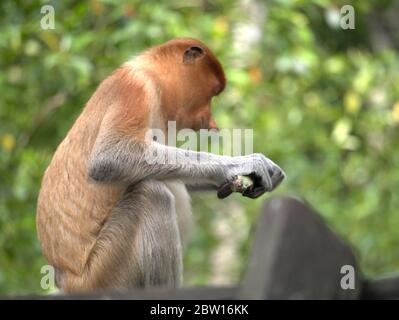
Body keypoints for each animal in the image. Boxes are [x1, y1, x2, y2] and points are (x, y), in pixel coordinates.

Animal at [36, 37, 286, 292]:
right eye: (212, 93)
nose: (212, 123)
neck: (154, 77)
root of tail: (66, 280)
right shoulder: (135, 88)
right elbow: (108, 157)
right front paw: (245, 164)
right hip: (105, 271)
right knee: (152, 194)